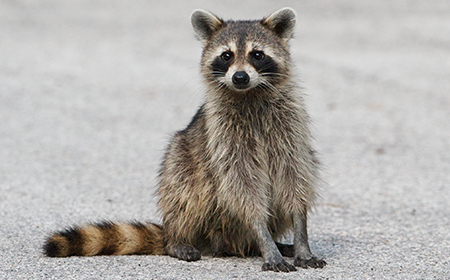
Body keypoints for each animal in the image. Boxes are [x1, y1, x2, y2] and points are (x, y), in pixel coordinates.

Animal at [44, 7, 326, 272]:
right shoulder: (224, 137)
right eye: (226, 56)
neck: (249, 94)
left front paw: (300, 240)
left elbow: (296, 179)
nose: (240, 77)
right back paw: (180, 239)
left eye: (257, 55)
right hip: (183, 160)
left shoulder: (290, 129)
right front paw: (264, 238)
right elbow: (243, 189)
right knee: (183, 189)